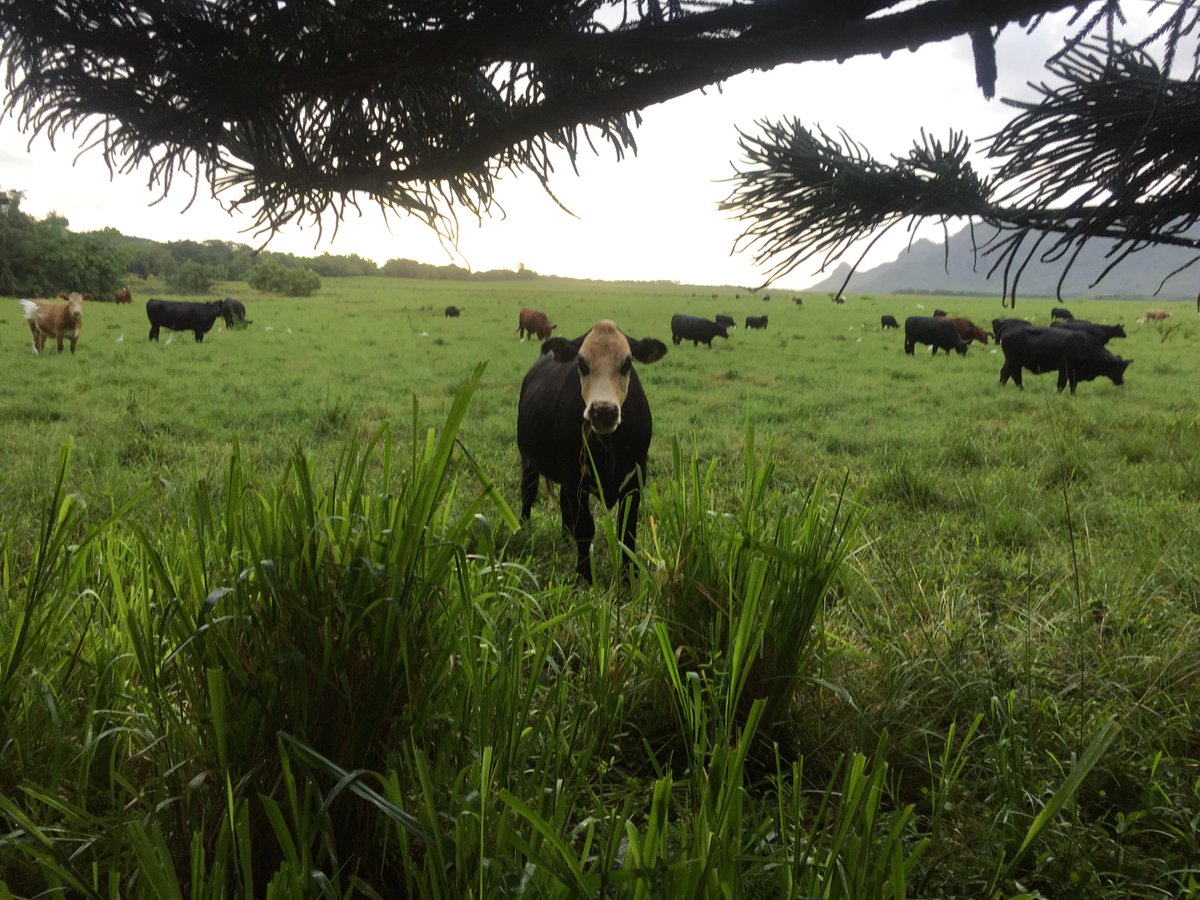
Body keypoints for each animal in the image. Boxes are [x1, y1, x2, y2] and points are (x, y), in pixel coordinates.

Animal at [517, 320, 668, 583]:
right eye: (582, 363)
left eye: (626, 363)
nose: (603, 410)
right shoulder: (573, 477)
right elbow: (585, 528)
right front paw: (585, 576)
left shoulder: (635, 477)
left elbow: (626, 530)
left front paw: (628, 577)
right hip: (528, 459)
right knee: (528, 492)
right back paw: (526, 529)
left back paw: (565, 537)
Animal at [999, 325, 1131, 395]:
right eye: (1119, 368)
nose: (1122, 381)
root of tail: (1005, 333)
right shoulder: (1064, 369)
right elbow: (1061, 384)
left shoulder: (1073, 373)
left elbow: (1073, 386)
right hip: (1014, 362)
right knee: (1015, 376)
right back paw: (1021, 389)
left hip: (1011, 362)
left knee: (1005, 373)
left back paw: (1002, 387)